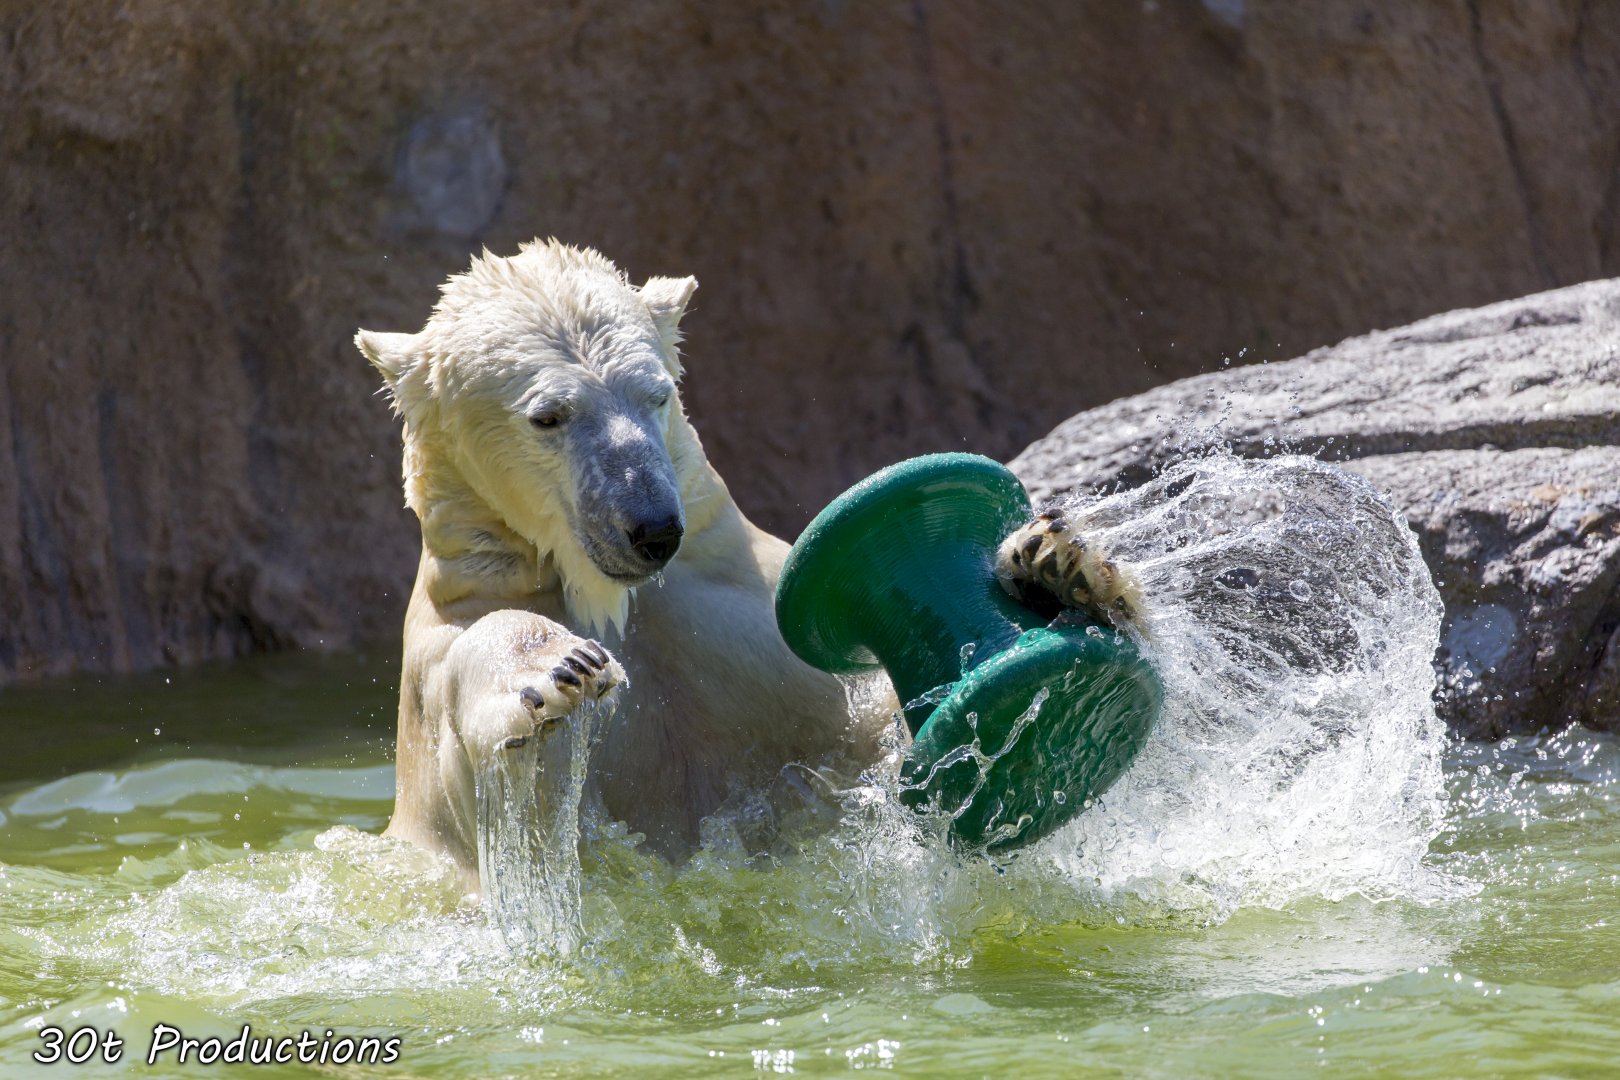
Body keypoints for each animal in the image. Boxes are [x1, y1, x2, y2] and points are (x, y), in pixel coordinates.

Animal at [357, 240, 1138, 889]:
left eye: (657, 393)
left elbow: (870, 742)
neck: (621, 595)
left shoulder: (745, 607)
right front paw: (560, 672)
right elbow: (507, 776)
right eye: (548, 415)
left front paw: (1057, 571)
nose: (652, 529)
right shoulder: (445, 651)